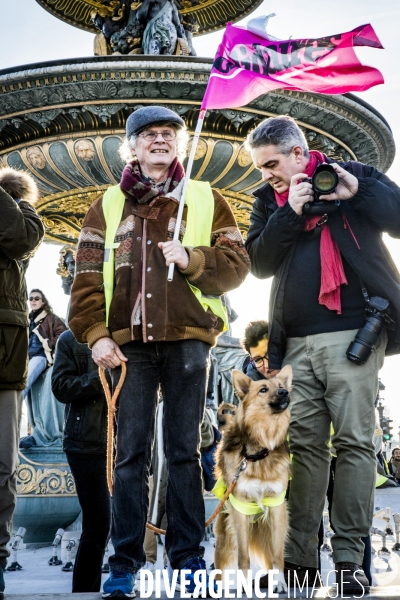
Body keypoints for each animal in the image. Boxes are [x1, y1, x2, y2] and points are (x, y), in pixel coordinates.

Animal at [212, 366, 290, 592]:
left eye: (281, 386)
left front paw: (279, 582)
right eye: (263, 389)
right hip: (224, 535)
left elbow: (277, 554)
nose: (284, 393)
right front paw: (244, 584)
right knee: (220, 565)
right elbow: (243, 556)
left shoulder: (276, 506)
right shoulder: (241, 508)